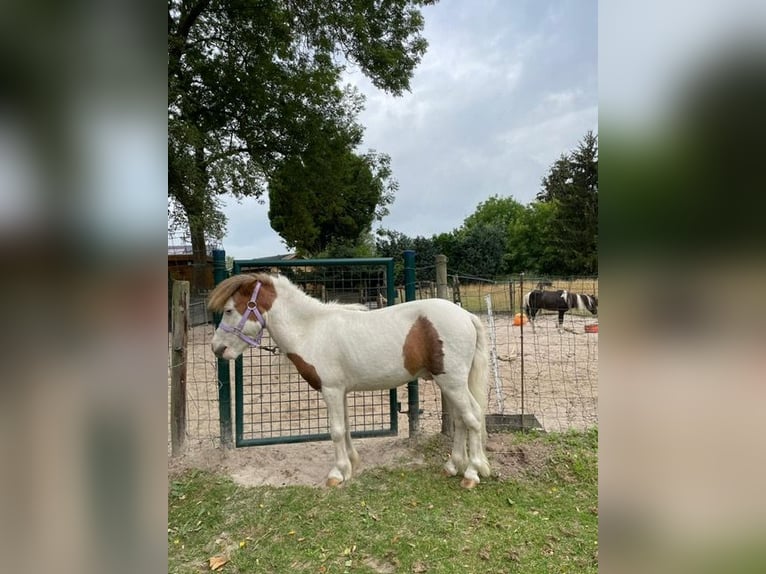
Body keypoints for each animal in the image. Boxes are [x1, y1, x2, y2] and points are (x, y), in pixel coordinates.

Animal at [208, 273, 491, 489]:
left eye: (230, 310)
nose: (217, 348)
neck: (311, 330)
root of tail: (466, 316)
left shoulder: (331, 390)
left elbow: (335, 430)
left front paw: (337, 473)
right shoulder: (340, 391)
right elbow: (345, 427)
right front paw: (351, 464)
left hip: (452, 383)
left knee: (473, 418)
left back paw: (472, 473)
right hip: (450, 385)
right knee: (461, 420)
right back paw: (453, 466)